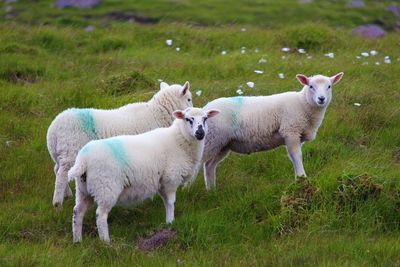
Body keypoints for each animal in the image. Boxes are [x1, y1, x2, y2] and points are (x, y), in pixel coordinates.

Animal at [46, 80, 193, 210]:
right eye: (189, 99)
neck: (156, 113)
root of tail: (54, 128)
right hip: (71, 151)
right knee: (61, 175)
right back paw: (58, 203)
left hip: (62, 153)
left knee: (57, 170)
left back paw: (67, 195)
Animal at [67, 107, 220, 243]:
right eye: (188, 119)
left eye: (205, 119)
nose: (200, 132)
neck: (179, 141)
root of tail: (83, 160)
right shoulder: (171, 179)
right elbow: (171, 202)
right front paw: (171, 221)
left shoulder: (162, 182)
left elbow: (166, 202)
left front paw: (168, 222)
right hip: (106, 188)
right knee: (101, 216)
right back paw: (106, 242)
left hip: (84, 189)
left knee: (77, 212)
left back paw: (77, 241)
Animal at [202, 73, 346, 191]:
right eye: (311, 86)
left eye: (329, 86)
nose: (321, 99)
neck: (302, 104)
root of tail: (204, 110)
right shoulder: (290, 130)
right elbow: (296, 156)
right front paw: (302, 178)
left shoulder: (298, 135)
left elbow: (295, 157)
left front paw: (299, 180)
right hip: (210, 139)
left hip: (222, 144)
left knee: (209, 165)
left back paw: (212, 190)